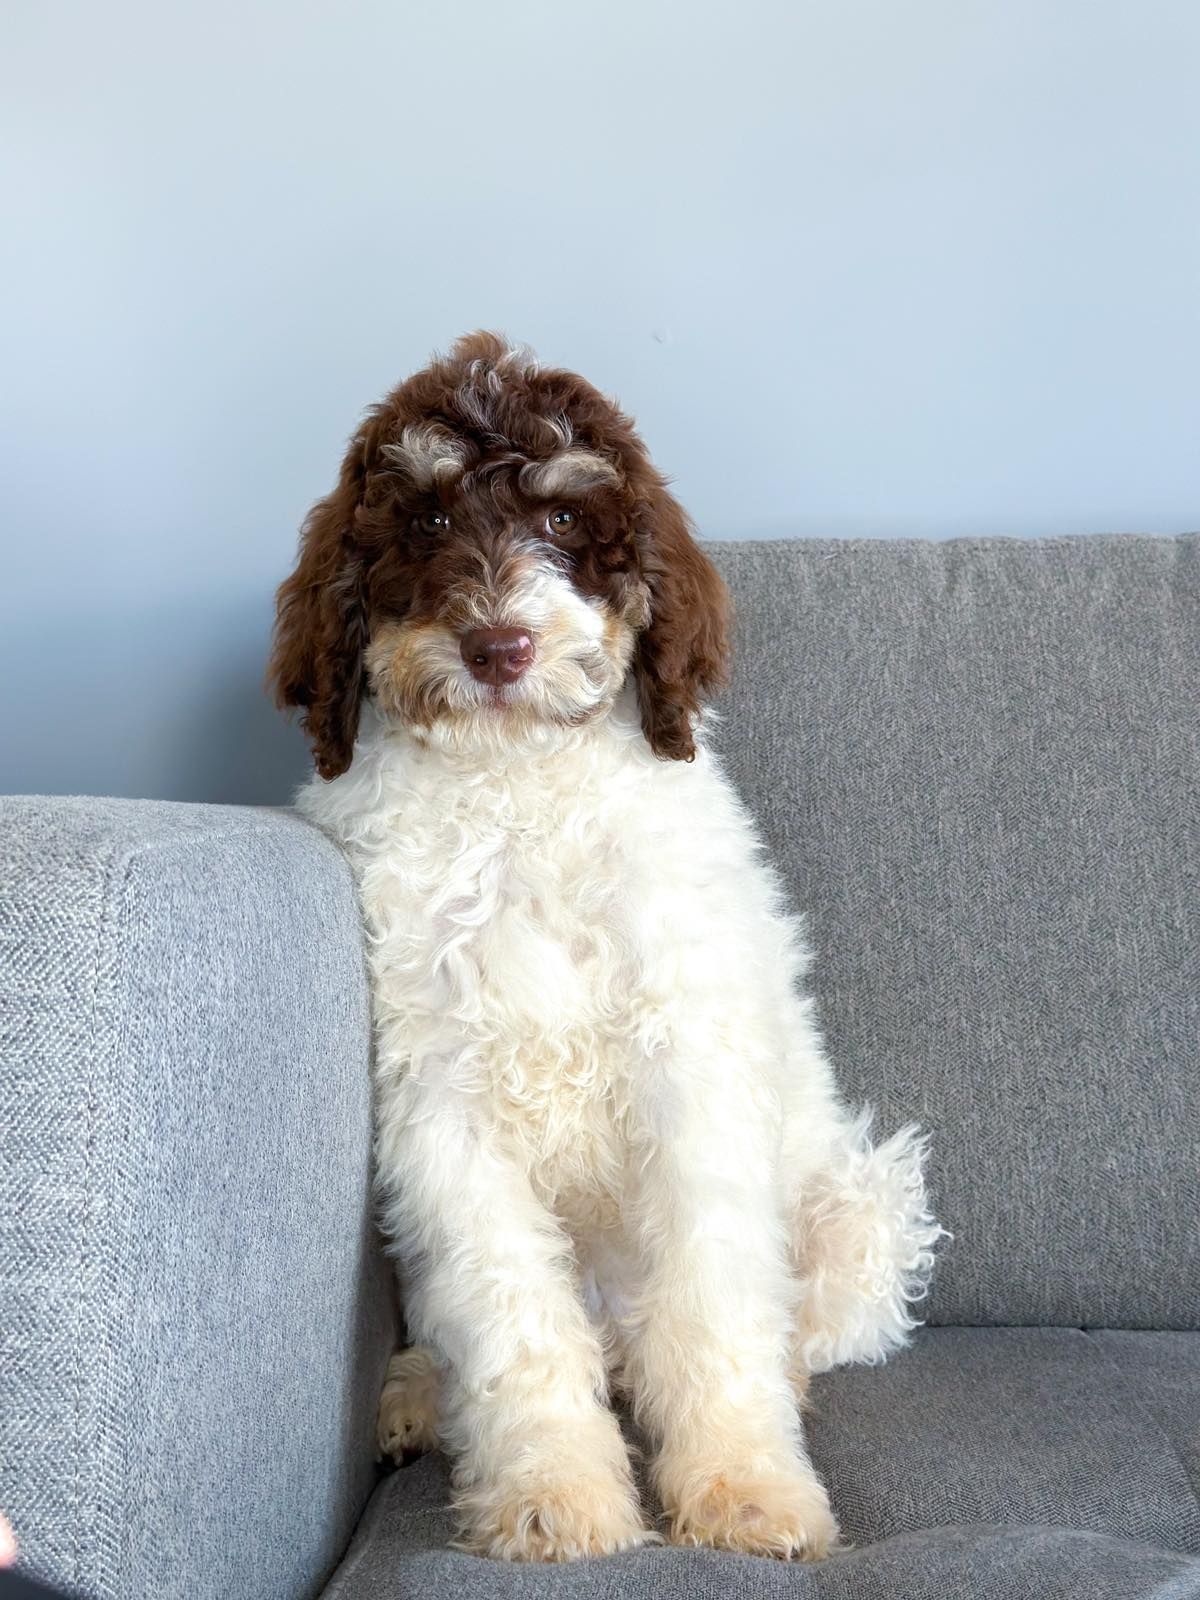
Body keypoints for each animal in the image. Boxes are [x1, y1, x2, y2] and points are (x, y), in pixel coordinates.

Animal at [270, 331, 940, 1555]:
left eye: (565, 519)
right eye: (426, 519)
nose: (497, 645)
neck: (516, 791)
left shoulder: (691, 1073)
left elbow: (714, 1302)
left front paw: (744, 1486)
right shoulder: (442, 1106)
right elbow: (506, 1313)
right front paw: (553, 1494)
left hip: (860, 1203)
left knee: (798, 1323)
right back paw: (417, 1396)